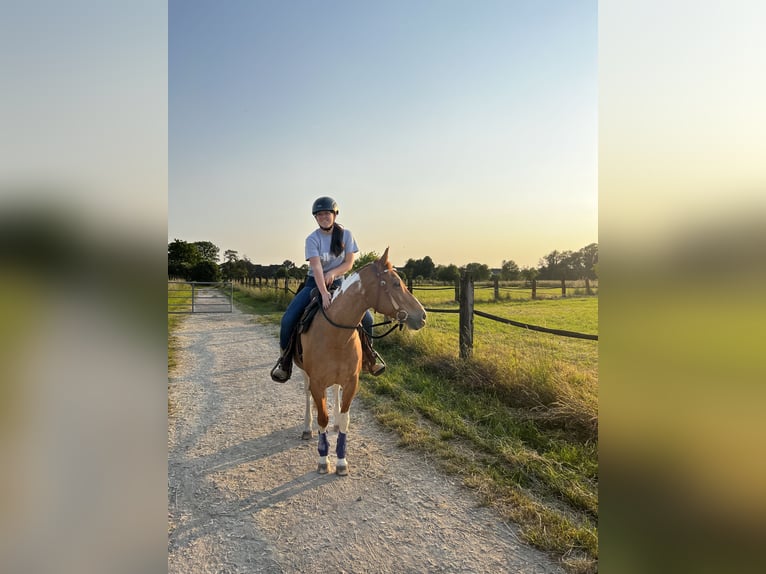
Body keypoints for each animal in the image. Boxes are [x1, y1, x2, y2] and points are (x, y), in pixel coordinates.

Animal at [294, 248, 428, 476]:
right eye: (395, 283)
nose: (422, 316)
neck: (335, 334)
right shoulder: (317, 383)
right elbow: (322, 418)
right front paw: (323, 460)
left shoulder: (351, 382)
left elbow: (345, 418)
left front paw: (341, 461)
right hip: (305, 374)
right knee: (306, 395)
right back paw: (306, 428)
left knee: (335, 390)